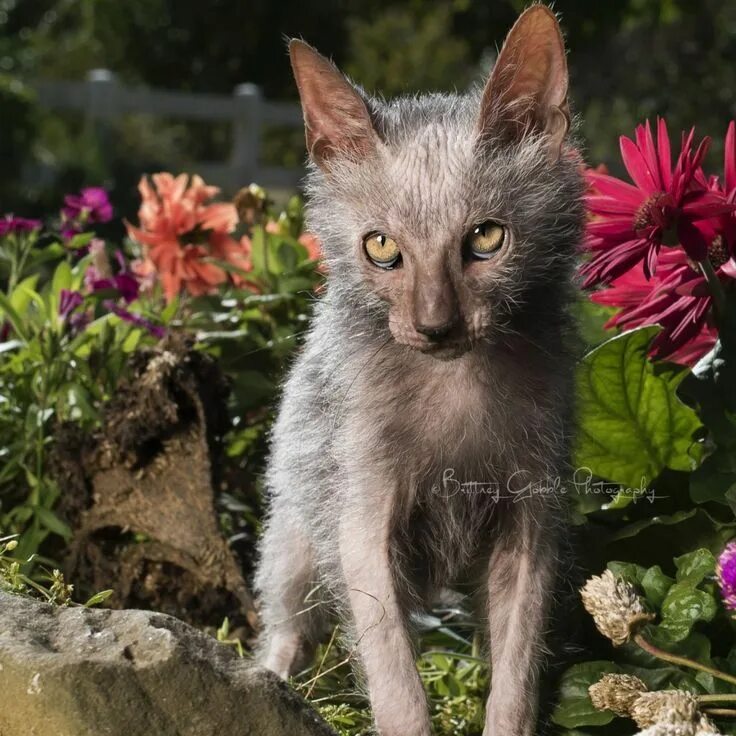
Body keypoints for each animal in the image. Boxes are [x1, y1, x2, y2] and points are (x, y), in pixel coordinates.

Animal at [254, 7, 588, 736]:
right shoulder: (360, 522)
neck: (457, 385)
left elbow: (516, 673)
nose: (436, 325)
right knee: (285, 620)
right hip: (295, 529)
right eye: (381, 247)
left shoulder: (531, 524)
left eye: (487, 239)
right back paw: (267, 680)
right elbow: (394, 677)